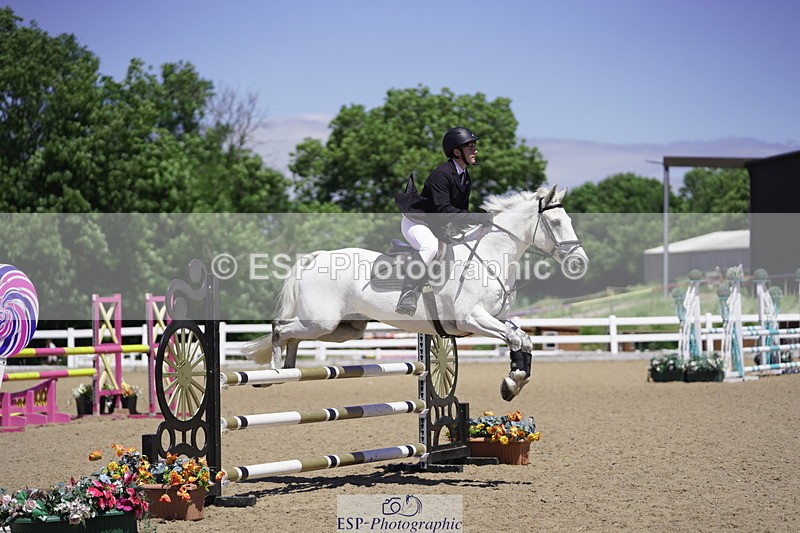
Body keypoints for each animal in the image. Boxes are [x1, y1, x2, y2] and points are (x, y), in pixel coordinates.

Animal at [244, 185, 588, 401]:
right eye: (556, 222)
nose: (579, 262)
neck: (489, 256)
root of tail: (315, 257)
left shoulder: (496, 317)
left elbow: (524, 339)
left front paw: (513, 384)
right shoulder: (471, 319)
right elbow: (515, 339)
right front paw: (511, 384)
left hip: (344, 329)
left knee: (294, 336)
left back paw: (288, 370)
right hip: (321, 321)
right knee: (280, 328)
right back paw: (274, 372)